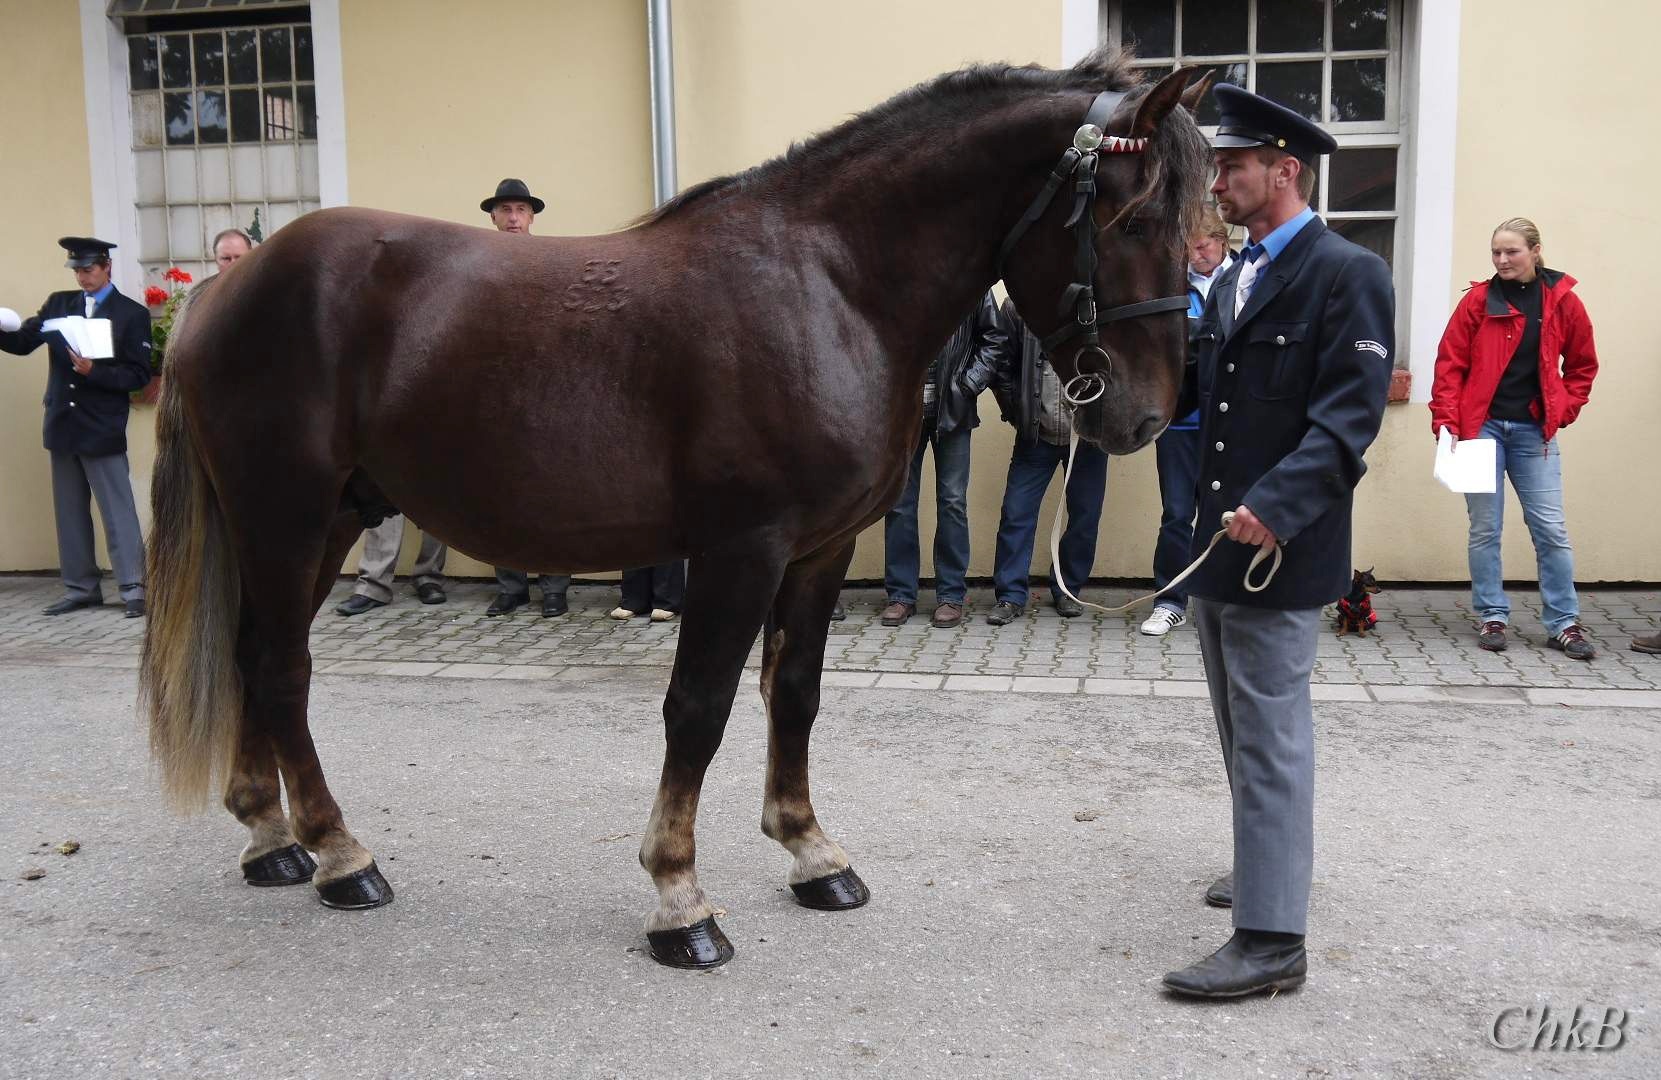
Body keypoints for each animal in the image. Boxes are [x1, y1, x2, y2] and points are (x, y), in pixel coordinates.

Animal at [139, 46, 1209, 963]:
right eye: (1131, 222)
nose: (1144, 414)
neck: (828, 286)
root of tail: (223, 286)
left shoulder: (818, 552)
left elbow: (795, 694)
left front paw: (811, 853)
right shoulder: (741, 549)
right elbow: (698, 708)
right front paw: (679, 899)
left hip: (327, 521)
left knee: (254, 657)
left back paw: (272, 837)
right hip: (285, 516)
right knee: (282, 669)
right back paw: (339, 854)